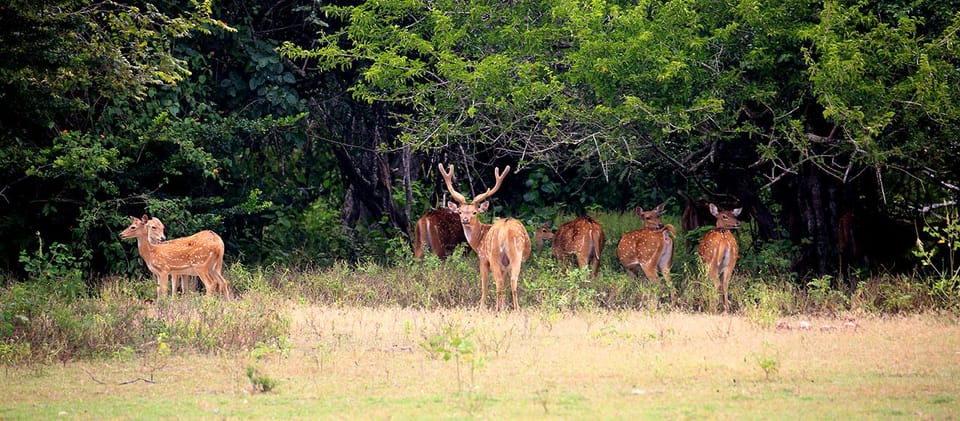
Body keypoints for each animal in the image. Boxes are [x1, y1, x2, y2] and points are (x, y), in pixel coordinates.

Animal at [436, 162, 528, 310]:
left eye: (474, 212)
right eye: (460, 212)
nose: (465, 220)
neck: (478, 240)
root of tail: (505, 231)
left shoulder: (483, 258)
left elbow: (484, 285)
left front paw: (481, 307)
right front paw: (504, 306)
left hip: (494, 256)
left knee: (499, 282)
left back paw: (497, 310)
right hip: (516, 256)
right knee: (513, 281)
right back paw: (516, 309)